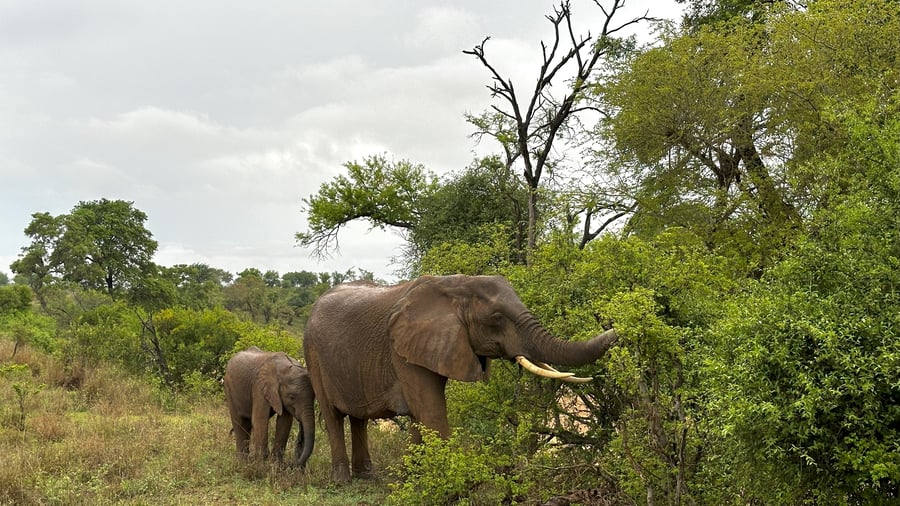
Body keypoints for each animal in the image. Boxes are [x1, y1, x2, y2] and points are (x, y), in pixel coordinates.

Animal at [303, 274, 617, 483]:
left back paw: (367, 477)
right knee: (332, 416)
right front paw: (450, 483)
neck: (455, 286)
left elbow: (421, 417)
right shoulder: (402, 350)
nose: (615, 328)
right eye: (496, 318)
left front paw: (412, 478)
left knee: (358, 418)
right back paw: (343, 481)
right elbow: (430, 412)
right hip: (313, 353)